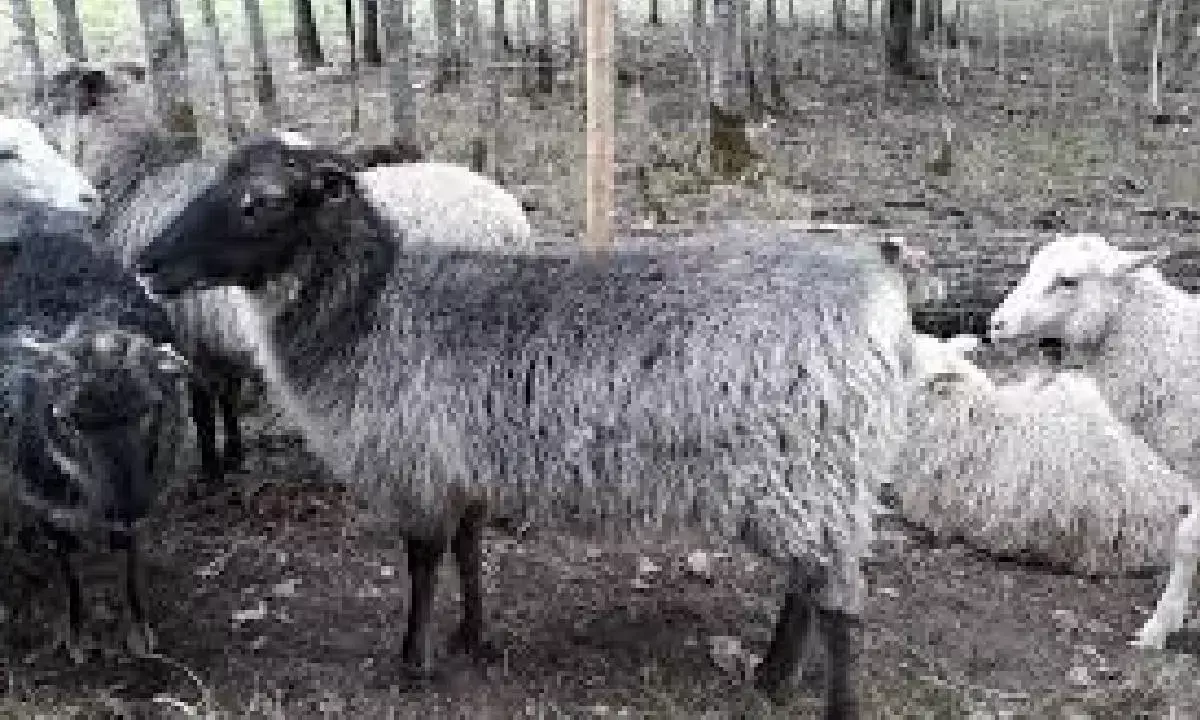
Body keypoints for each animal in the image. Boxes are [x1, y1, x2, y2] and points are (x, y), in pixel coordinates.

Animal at [1, 204, 189, 661]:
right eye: (68, 420)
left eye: (150, 409)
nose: (124, 506)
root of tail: (46, 235)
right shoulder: (47, 505)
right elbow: (67, 566)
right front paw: (77, 634)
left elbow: (128, 559)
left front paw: (138, 628)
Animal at [135, 132, 930, 718]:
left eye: (260, 203)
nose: (146, 262)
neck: (372, 305)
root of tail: (882, 293)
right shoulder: (462, 463)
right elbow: (468, 548)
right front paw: (471, 637)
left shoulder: (417, 461)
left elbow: (424, 560)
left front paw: (413, 662)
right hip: (812, 478)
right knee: (808, 581)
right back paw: (772, 676)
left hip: (809, 469)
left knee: (839, 602)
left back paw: (828, 699)